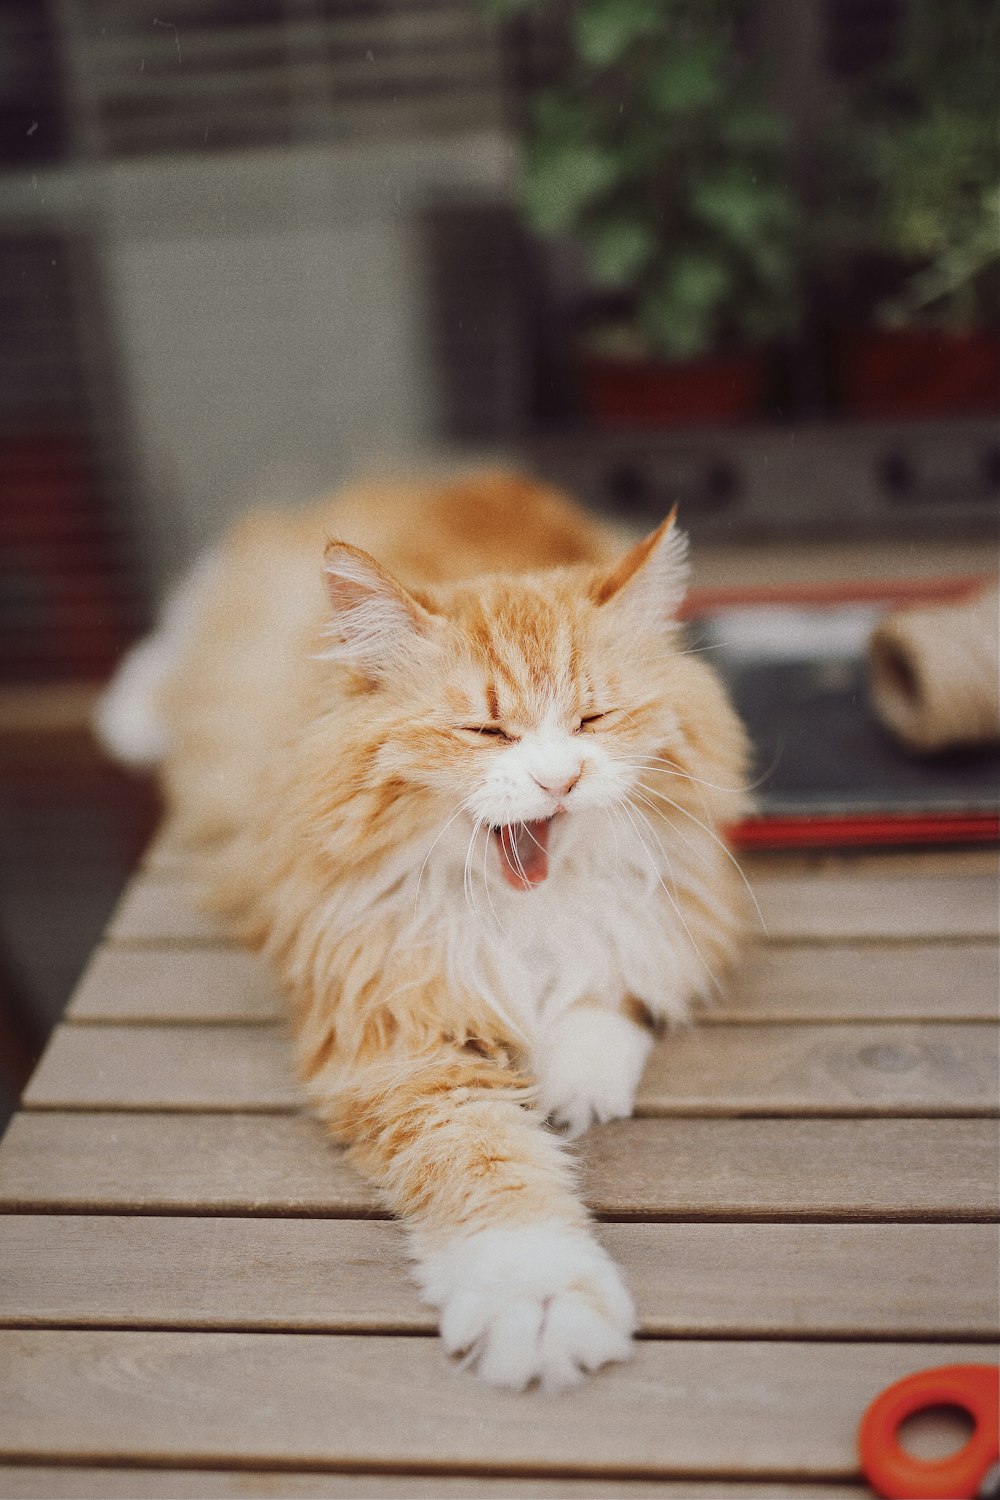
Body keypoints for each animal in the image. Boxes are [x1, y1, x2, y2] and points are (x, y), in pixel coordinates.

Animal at [97, 471, 749, 1392]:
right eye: (487, 731)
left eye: (593, 719)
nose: (560, 778)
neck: (521, 914)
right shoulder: (396, 1039)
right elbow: (491, 1172)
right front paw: (540, 1305)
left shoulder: (666, 910)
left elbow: (603, 987)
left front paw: (574, 1079)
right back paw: (127, 705)